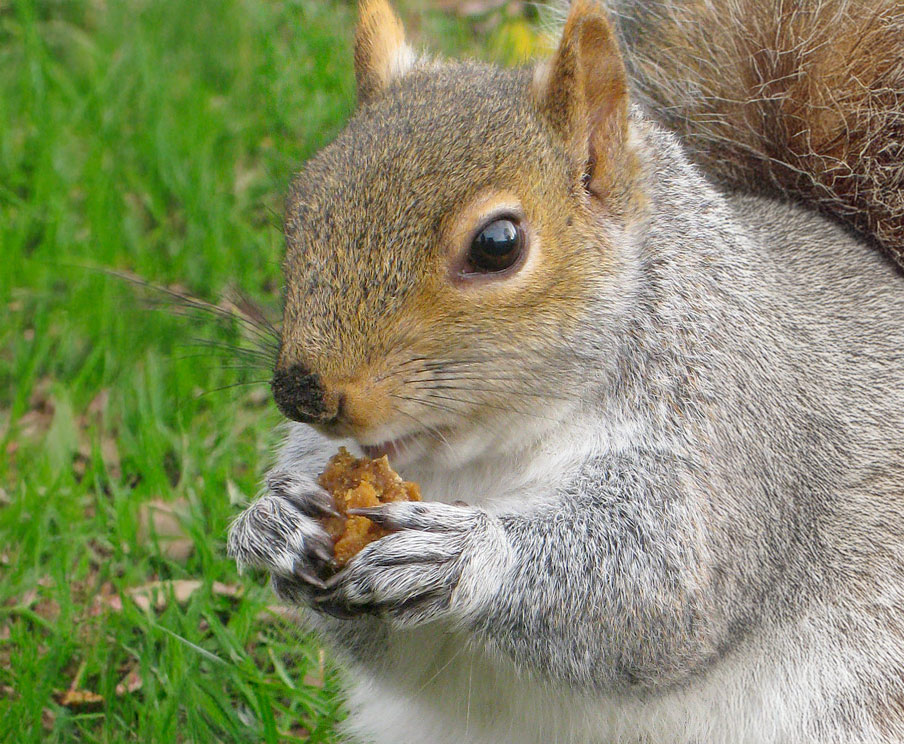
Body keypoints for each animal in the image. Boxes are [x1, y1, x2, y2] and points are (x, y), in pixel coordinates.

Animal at [227, 0, 904, 742]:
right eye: (300, 208)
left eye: (497, 244)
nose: (302, 392)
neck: (485, 456)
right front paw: (269, 523)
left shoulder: (739, 447)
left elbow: (664, 595)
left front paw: (467, 554)